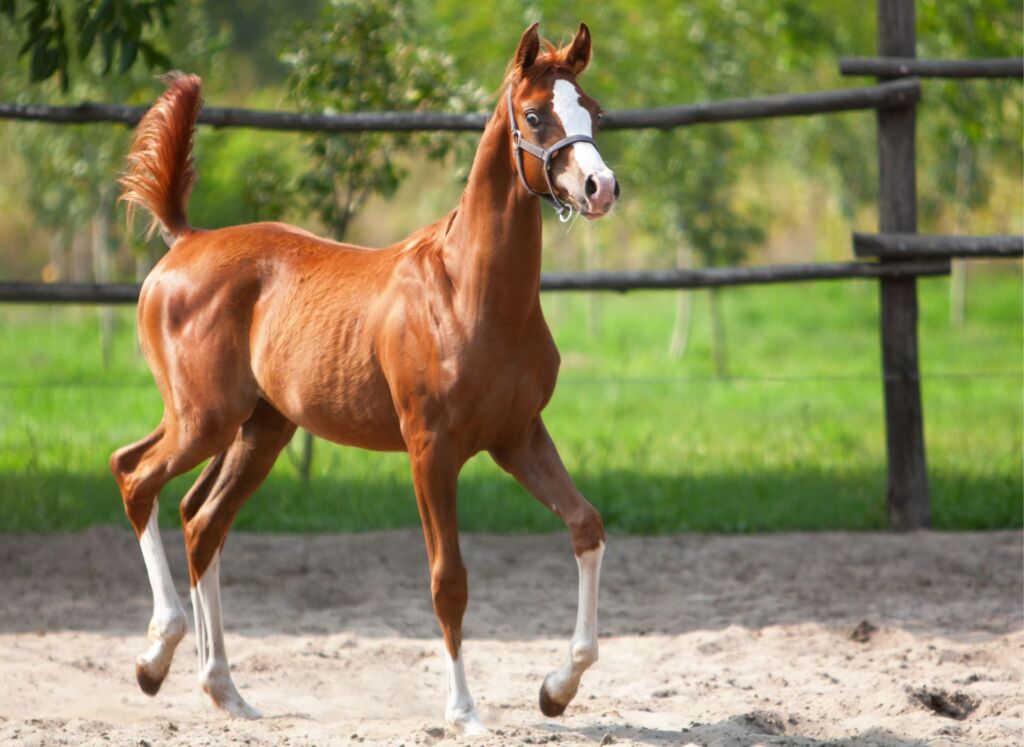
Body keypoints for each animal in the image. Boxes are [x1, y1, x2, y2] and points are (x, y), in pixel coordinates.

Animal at [116, 21, 618, 729]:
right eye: (534, 115)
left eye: (593, 112)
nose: (601, 187)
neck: (472, 294)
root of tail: (185, 240)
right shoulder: (430, 448)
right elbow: (448, 578)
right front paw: (463, 711)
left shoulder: (518, 436)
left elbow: (585, 526)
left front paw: (556, 689)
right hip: (200, 420)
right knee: (135, 476)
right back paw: (155, 656)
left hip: (261, 430)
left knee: (201, 519)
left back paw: (225, 690)